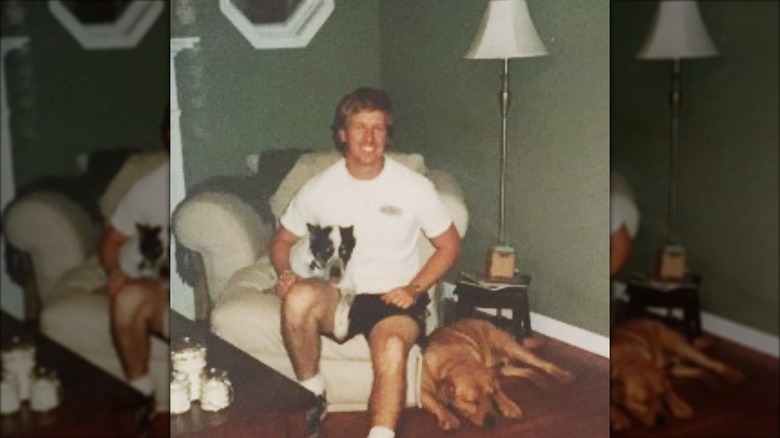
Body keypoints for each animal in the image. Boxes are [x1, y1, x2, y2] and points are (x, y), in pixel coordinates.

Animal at [420, 316, 572, 430]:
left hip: (512, 349)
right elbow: (437, 402)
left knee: (543, 363)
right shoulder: (422, 392)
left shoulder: (492, 378)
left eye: (489, 395)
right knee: (527, 370)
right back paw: (538, 380)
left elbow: (499, 392)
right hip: (503, 368)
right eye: (471, 402)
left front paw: (509, 406)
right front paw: (448, 417)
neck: (455, 360)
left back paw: (564, 375)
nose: (492, 421)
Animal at [608, 316, 744, 430]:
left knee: (713, 363)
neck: (630, 360)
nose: (662, 421)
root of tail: (651, 320)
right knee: (698, 370)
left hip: (681, 348)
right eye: (643, 402)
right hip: (675, 368)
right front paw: (618, 416)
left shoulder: (662, 378)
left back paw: (732, 374)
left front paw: (680, 406)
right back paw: (708, 380)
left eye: (660, 395)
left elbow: (670, 391)